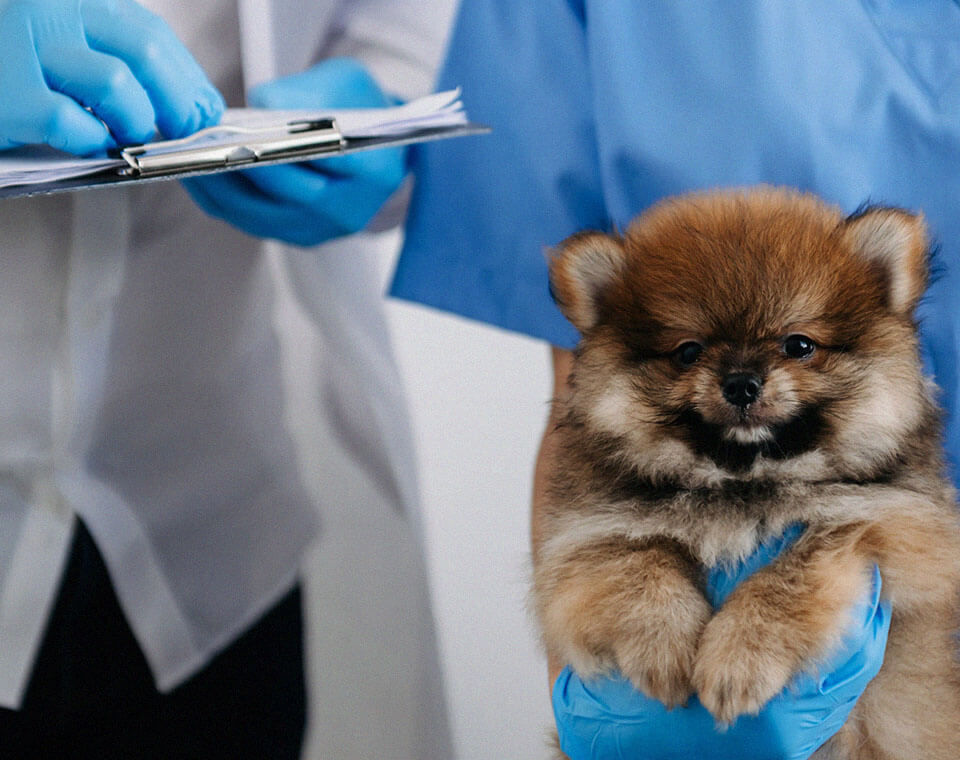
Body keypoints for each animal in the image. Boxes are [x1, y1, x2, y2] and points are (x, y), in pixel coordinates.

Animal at [532, 186, 960, 760]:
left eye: (798, 345)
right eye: (688, 352)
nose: (741, 382)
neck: (745, 482)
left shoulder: (885, 522)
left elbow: (788, 574)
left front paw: (739, 657)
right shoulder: (587, 534)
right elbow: (637, 561)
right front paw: (664, 645)